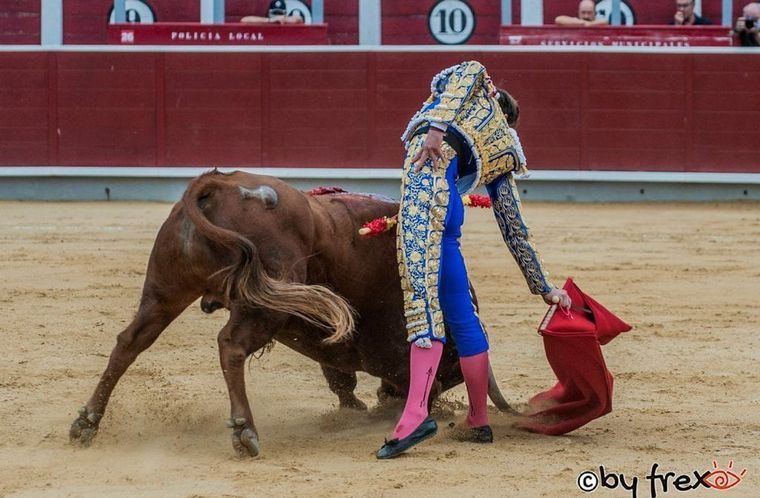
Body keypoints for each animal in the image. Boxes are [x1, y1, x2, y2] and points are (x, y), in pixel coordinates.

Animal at [71, 169, 510, 458]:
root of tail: (219, 184)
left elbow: (342, 379)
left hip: (164, 291)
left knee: (130, 342)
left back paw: (87, 421)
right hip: (263, 307)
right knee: (230, 345)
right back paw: (245, 431)